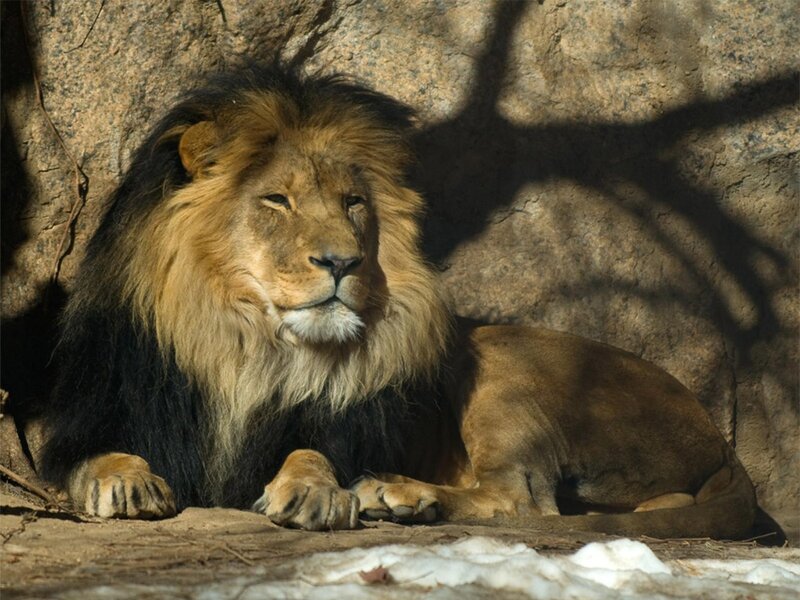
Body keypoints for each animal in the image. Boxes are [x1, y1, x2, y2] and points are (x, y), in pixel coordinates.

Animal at [40, 66, 756, 538]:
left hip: (500, 362)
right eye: (277, 200)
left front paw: (316, 492)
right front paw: (125, 481)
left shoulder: (340, 426)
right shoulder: (93, 415)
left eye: (353, 203)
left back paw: (396, 494)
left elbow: (313, 452)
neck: (247, 344)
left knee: (524, 501)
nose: (342, 262)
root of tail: (718, 437)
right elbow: (94, 457)